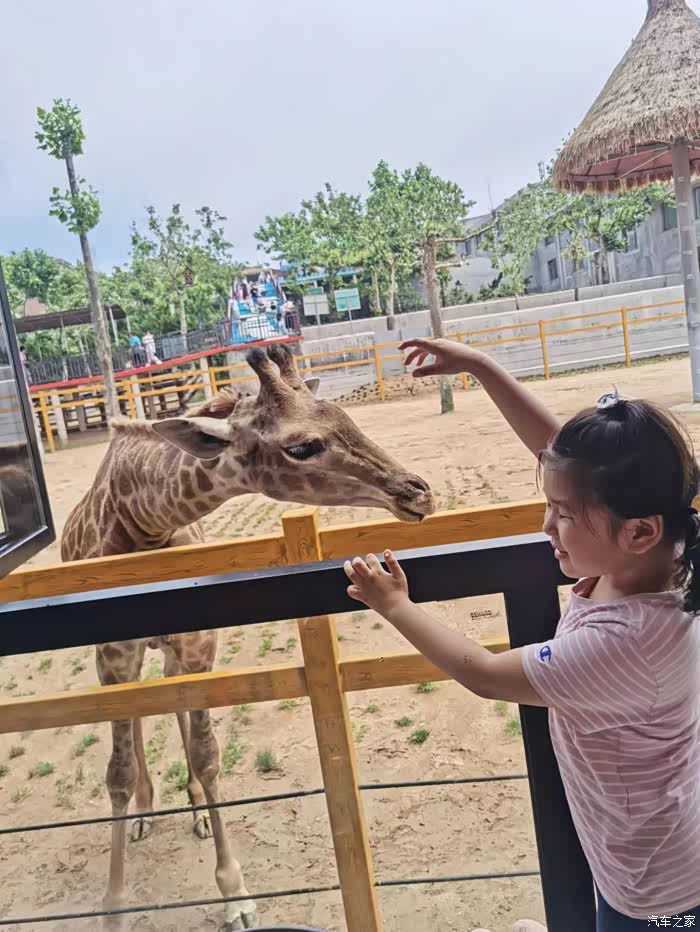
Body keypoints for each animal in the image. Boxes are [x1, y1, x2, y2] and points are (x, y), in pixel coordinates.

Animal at [60, 343, 435, 930]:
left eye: (346, 417)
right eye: (301, 445)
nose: (417, 493)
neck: (142, 521)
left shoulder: (198, 641)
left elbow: (207, 753)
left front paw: (234, 894)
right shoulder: (113, 652)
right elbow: (117, 772)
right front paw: (114, 909)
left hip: (176, 651)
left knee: (175, 712)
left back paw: (193, 809)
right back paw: (145, 811)